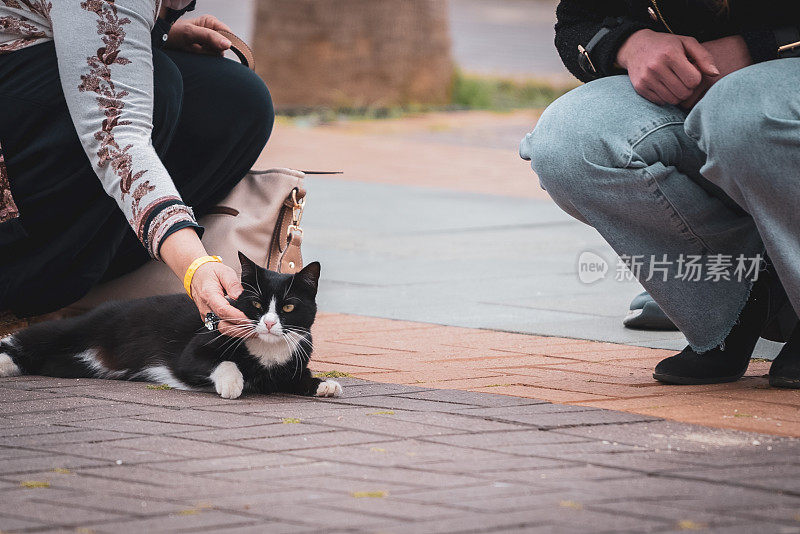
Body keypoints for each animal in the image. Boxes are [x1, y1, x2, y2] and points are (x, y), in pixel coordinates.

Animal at [0, 253, 340, 400]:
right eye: (256, 304)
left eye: (288, 307)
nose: (269, 323)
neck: (268, 350)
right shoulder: (197, 347)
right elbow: (221, 361)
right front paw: (233, 384)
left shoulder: (291, 362)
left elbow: (296, 378)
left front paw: (323, 384)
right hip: (83, 326)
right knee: (27, 339)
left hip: (72, 363)